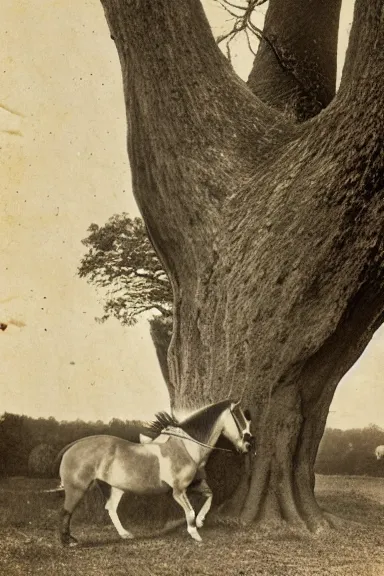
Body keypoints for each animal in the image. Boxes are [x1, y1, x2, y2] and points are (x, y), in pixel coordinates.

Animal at [54, 398, 252, 548]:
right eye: (240, 418)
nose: (248, 446)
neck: (186, 446)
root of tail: (73, 446)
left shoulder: (193, 485)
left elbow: (210, 496)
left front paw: (201, 521)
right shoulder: (178, 491)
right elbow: (190, 512)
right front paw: (195, 533)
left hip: (116, 488)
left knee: (110, 508)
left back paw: (125, 534)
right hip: (77, 488)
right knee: (66, 512)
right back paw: (68, 541)